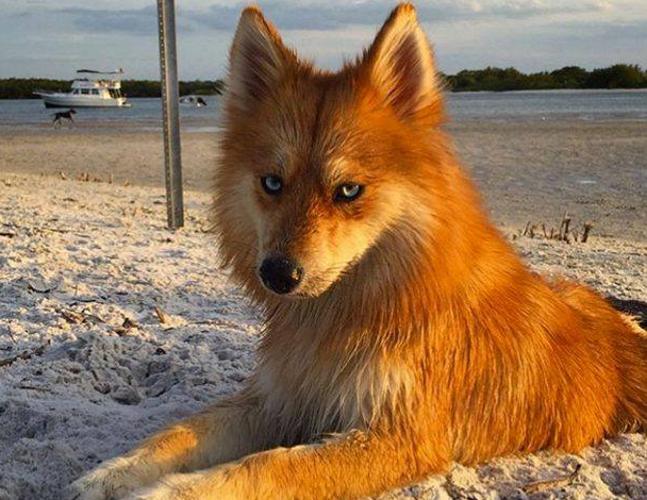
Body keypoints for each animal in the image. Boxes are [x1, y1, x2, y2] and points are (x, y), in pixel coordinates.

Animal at [69, 3, 646, 499]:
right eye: (272, 183)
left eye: (348, 190)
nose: (278, 274)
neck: (346, 312)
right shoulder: (281, 398)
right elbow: (181, 431)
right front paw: (110, 474)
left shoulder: (400, 437)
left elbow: (267, 468)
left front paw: (170, 492)